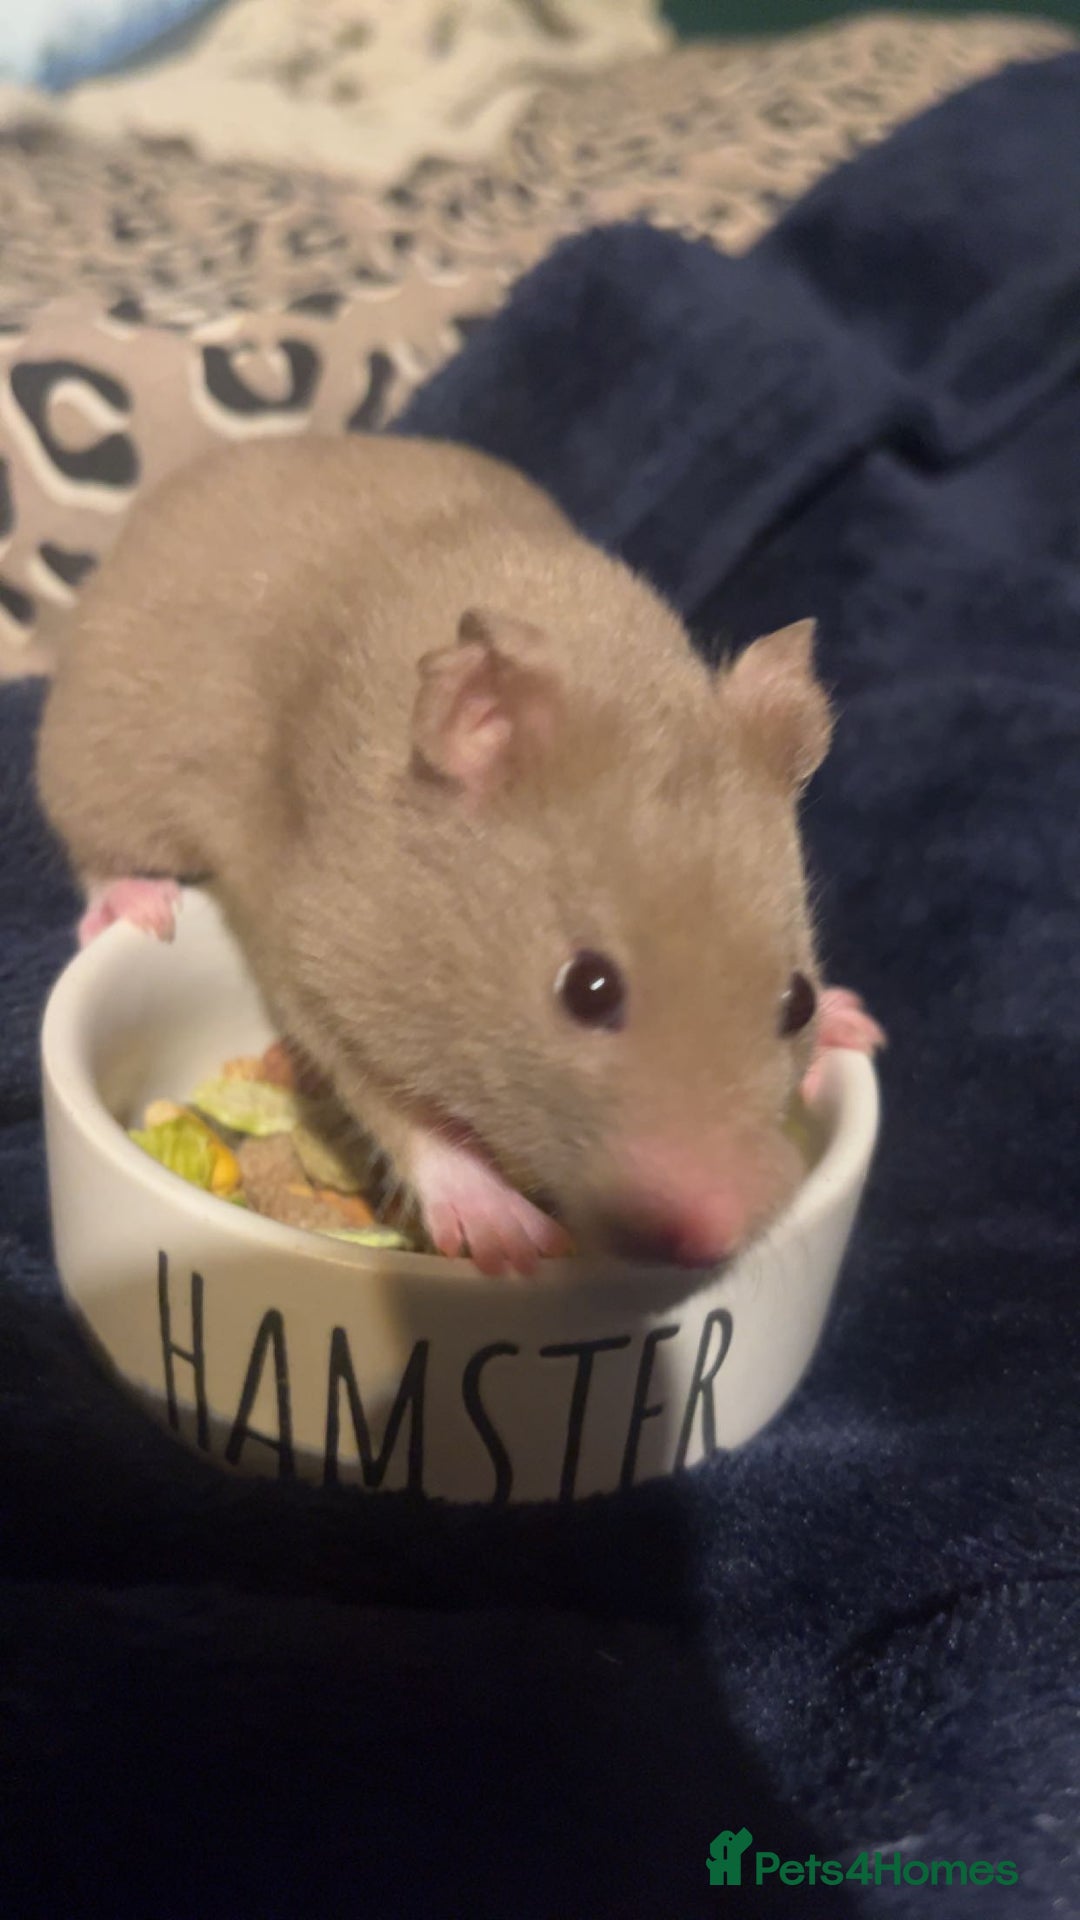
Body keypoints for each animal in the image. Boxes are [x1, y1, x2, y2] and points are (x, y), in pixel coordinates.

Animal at [37, 433, 883, 1278]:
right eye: (588, 989)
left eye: (798, 1000)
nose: (713, 1239)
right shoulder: (319, 965)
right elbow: (401, 1114)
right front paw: (512, 1239)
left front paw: (855, 1025)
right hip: (100, 755)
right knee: (92, 846)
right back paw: (142, 904)